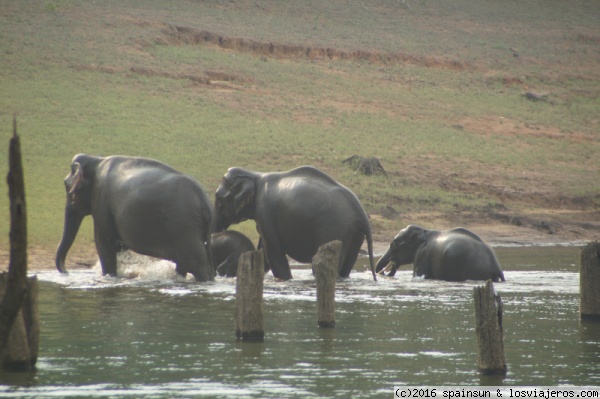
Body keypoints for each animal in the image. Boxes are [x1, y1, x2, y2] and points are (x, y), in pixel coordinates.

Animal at [53, 153, 213, 282]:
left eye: (67, 187)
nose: (66, 271)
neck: (96, 160)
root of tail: (203, 199)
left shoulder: (101, 201)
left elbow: (104, 243)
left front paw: (109, 277)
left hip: (184, 227)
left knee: (196, 262)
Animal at [214, 166, 376, 282]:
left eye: (218, 199)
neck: (254, 174)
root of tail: (361, 211)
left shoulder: (264, 212)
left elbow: (273, 252)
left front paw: (285, 280)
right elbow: (263, 251)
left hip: (335, 228)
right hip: (354, 234)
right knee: (347, 265)